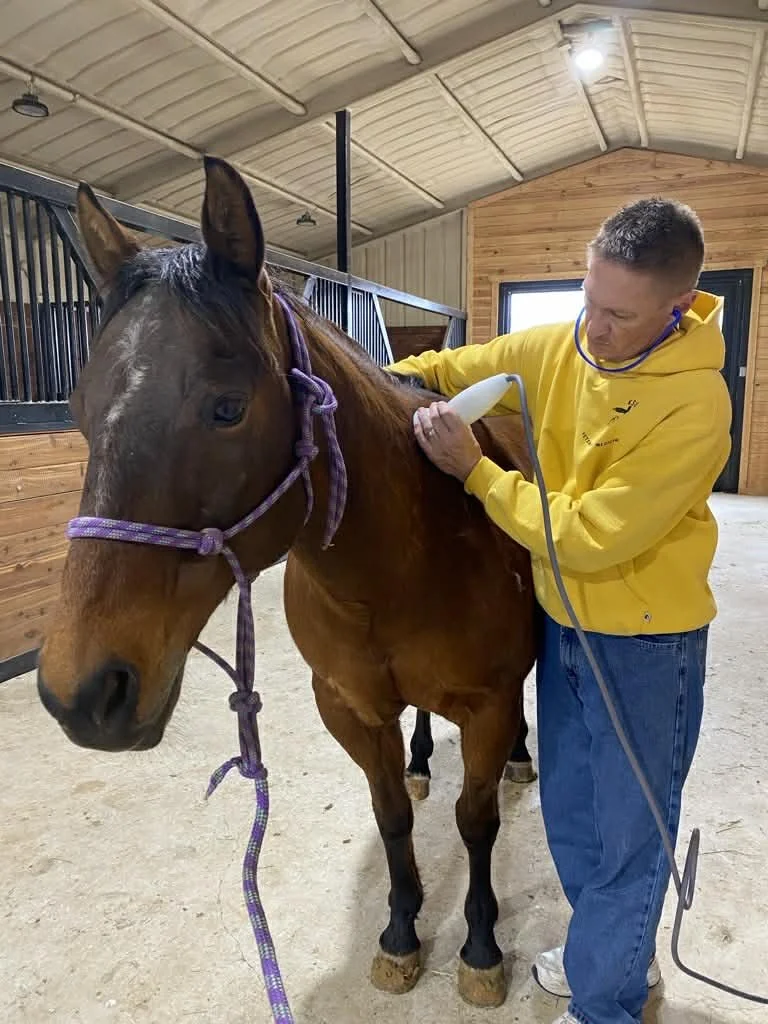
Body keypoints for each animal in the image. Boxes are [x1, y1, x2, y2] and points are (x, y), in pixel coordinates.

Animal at [36, 156, 537, 1009]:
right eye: (76, 405)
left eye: (227, 408)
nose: (80, 693)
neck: (395, 571)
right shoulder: (349, 707)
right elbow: (391, 815)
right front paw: (400, 932)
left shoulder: (489, 705)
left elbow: (475, 823)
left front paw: (479, 947)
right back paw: (422, 760)